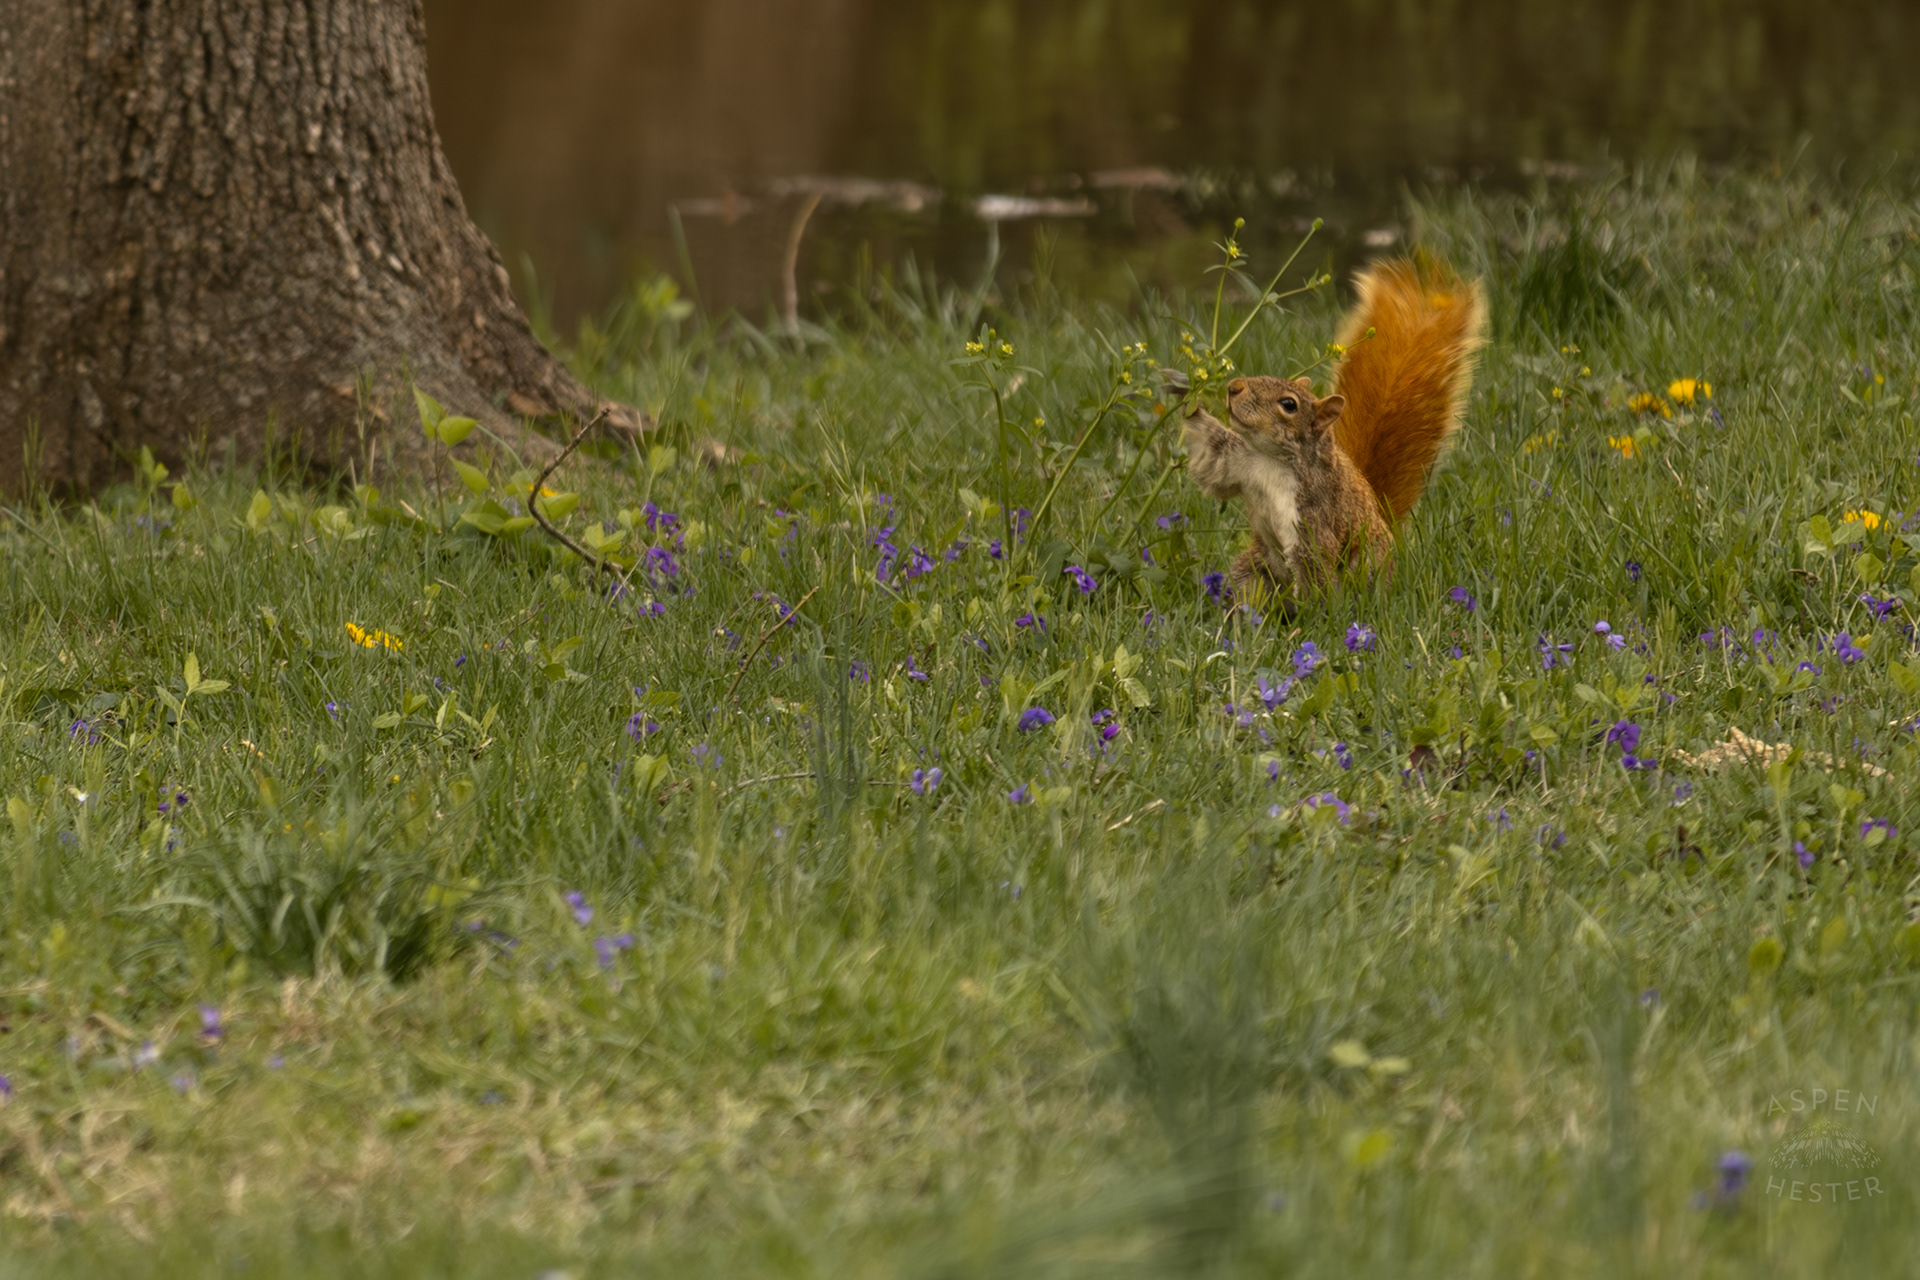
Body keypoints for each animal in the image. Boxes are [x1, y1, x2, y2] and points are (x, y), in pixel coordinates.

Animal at [1182, 254, 1487, 599]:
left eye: (1289, 404)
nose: (1233, 388)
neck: (1272, 459)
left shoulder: (1315, 519)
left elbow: (1314, 565)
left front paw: (1307, 615)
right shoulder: (1239, 462)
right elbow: (1213, 459)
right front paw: (1184, 396)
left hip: (1361, 566)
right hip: (1255, 568)